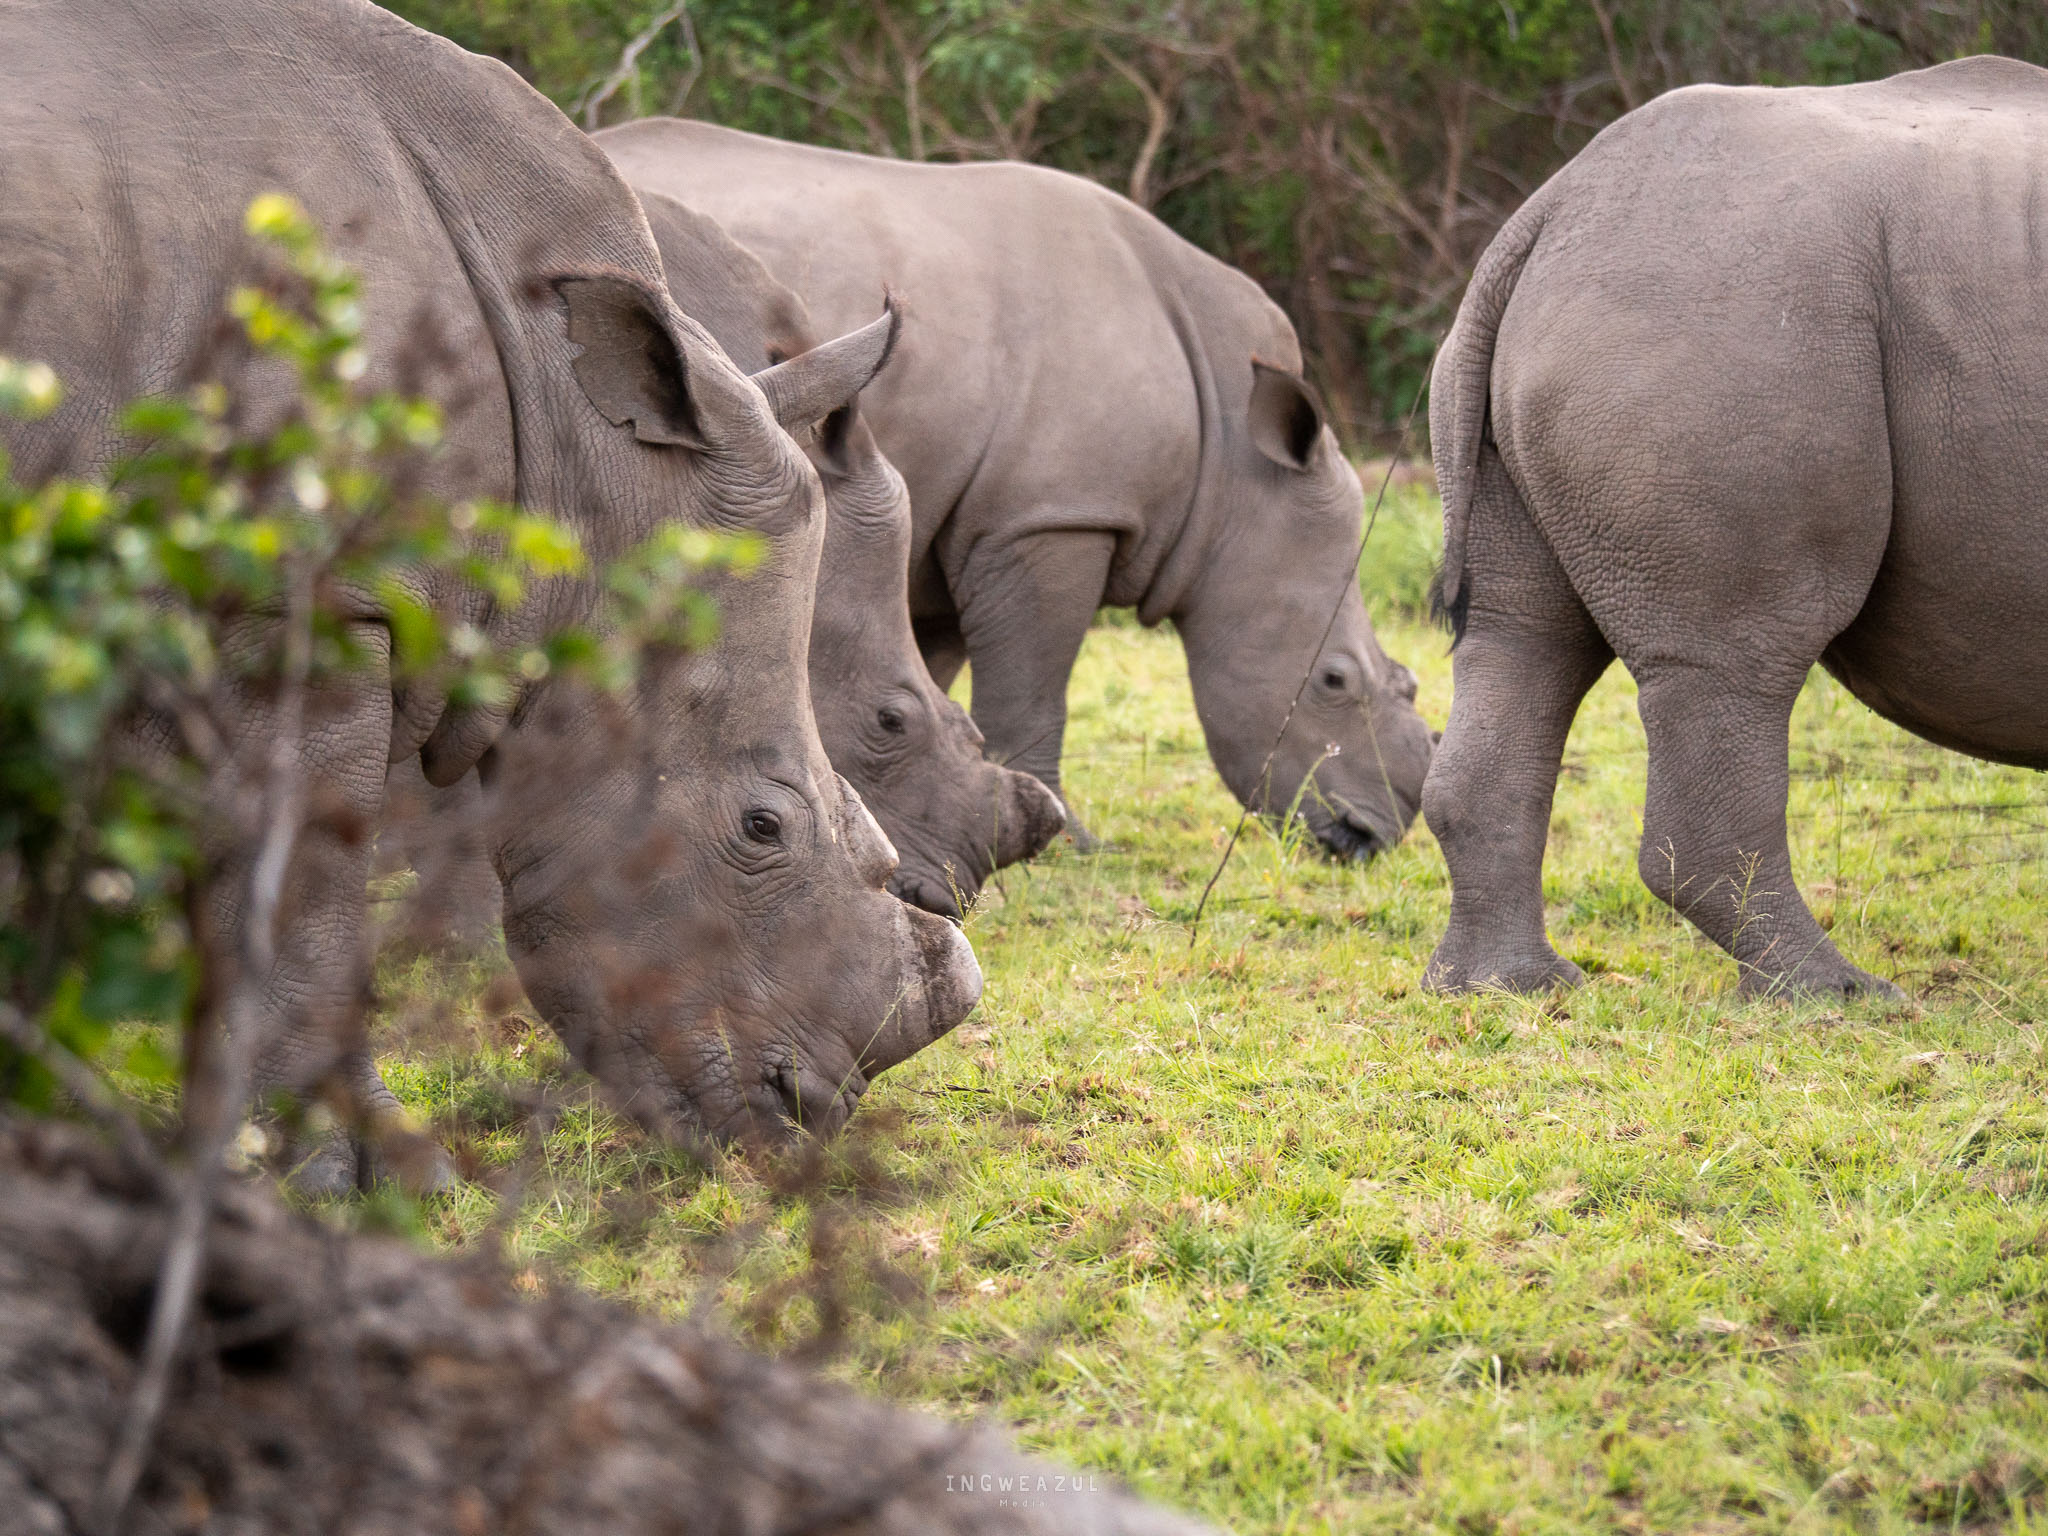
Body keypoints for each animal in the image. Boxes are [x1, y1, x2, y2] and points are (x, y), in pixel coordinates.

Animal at [0, 0, 981, 1158]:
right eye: (760, 828)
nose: (809, 1118)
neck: (580, 462)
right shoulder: (301, 589)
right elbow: (304, 887)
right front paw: (349, 1170)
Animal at [598, 120, 1436, 859]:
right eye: (1334, 681)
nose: (1371, 838)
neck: (1234, 470)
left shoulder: (962, 524)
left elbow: (937, 668)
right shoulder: (1053, 519)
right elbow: (1033, 686)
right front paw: (1072, 845)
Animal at [1423, 56, 2048, 999]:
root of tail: (1549, 212)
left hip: (1619, 319)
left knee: (1523, 636)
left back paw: (1512, 988)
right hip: (1729, 326)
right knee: (1738, 660)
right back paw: (1840, 997)